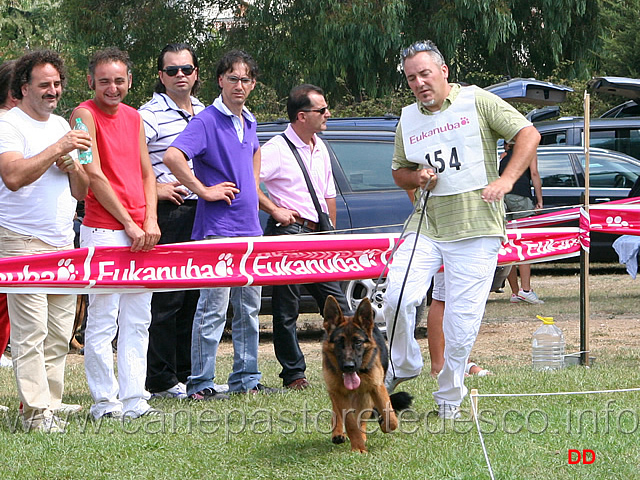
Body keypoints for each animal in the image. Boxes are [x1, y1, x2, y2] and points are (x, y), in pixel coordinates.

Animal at [322, 294, 412, 452]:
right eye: (339, 342)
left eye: (358, 342)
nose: (349, 366)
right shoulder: (338, 392)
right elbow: (350, 422)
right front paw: (358, 448)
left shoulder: (376, 387)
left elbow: (391, 418)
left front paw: (384, 423)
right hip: (336, 390)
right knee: (337, 410)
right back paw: (338, 433)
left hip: (365, 395)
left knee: (363, 415)